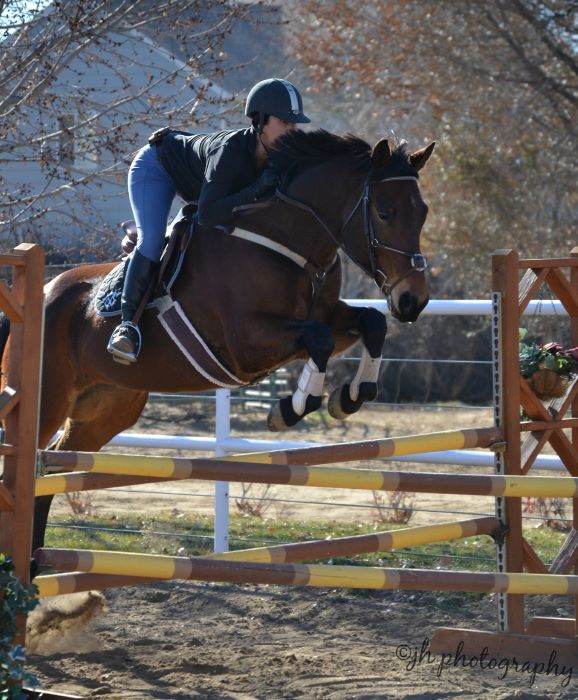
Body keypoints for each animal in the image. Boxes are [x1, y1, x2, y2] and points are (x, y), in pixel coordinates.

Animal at [0, 129, 432, 548]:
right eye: (384, 212)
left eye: (423, 212)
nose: (413, 301)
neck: (288, 243)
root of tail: (43, 291)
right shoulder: (246, 343)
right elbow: (319, 339)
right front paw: (290, 408)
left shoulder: (327, 317)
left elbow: (370, 324)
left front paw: (349, 397)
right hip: (47, 400)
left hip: (106, 408)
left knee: (52, 465)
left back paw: (36, 562)